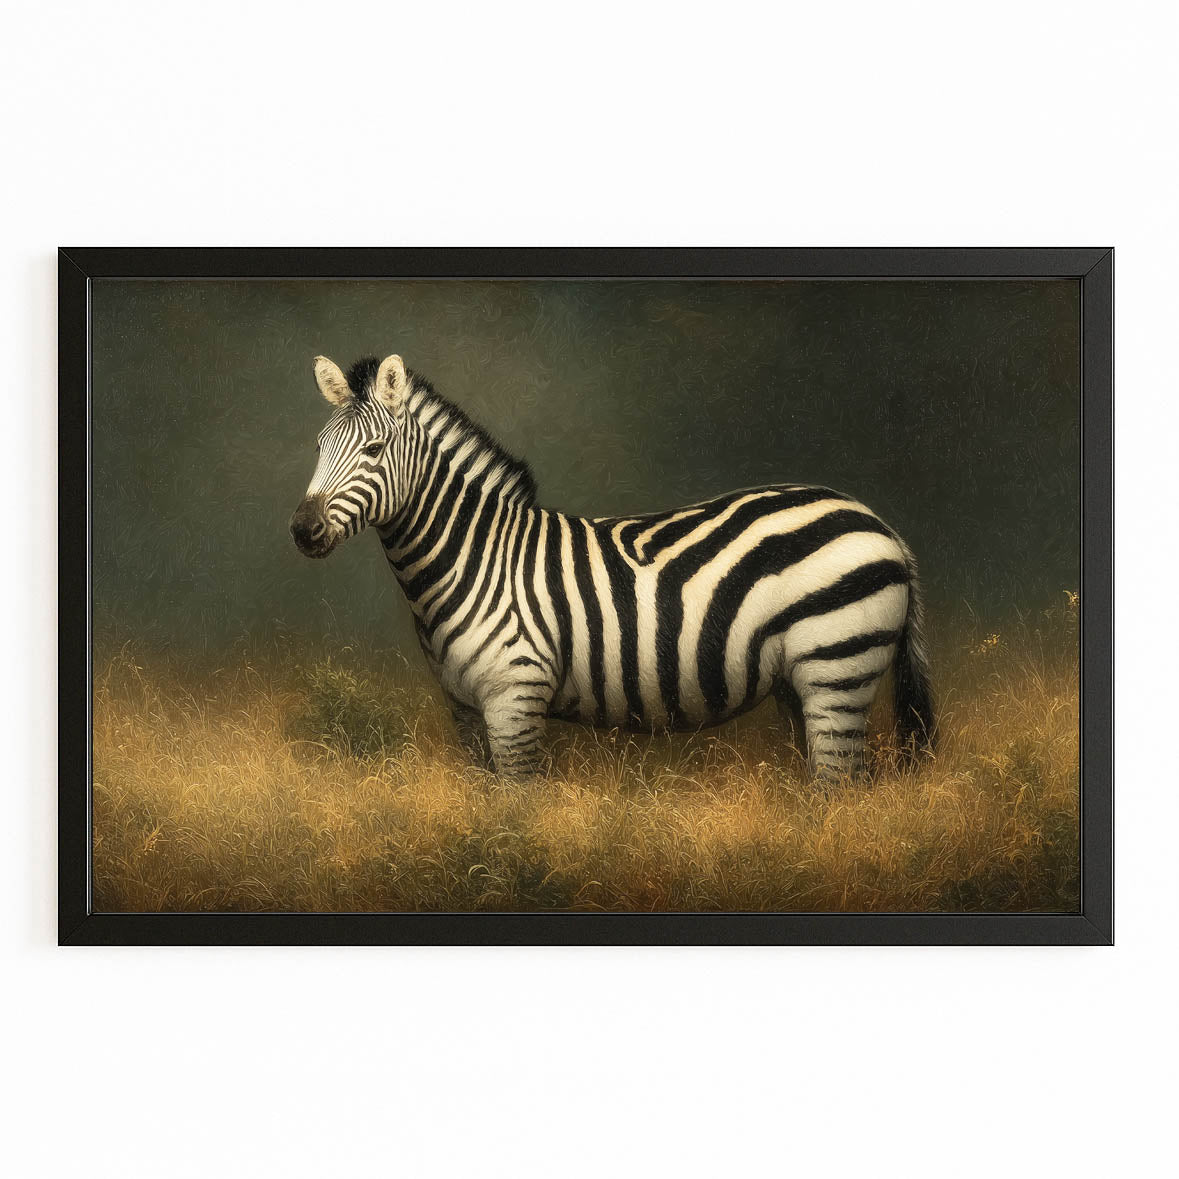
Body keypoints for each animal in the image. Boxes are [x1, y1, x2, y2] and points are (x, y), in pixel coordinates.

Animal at [290, 353, 935, 780]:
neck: (470, 558)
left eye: (374, 450)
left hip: (838, 669)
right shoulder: (467, 712)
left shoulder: (515, 696)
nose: (302, 530)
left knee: (840, 789)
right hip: (800, 683)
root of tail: (881, 524)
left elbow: (517, 816)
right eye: (319, 448)